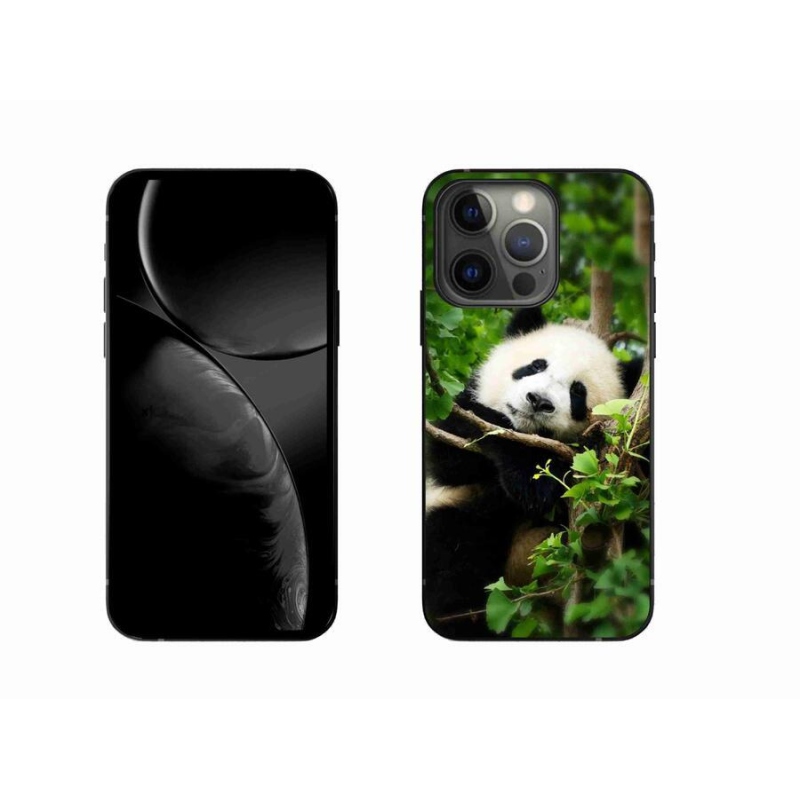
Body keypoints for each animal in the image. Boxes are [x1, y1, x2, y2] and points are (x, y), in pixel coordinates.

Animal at [424, 306, 643, 638]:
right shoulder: (454, 424)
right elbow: (451, 453)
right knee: (454, 548)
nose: (539, 401)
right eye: (535, 365)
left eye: (578, 392)